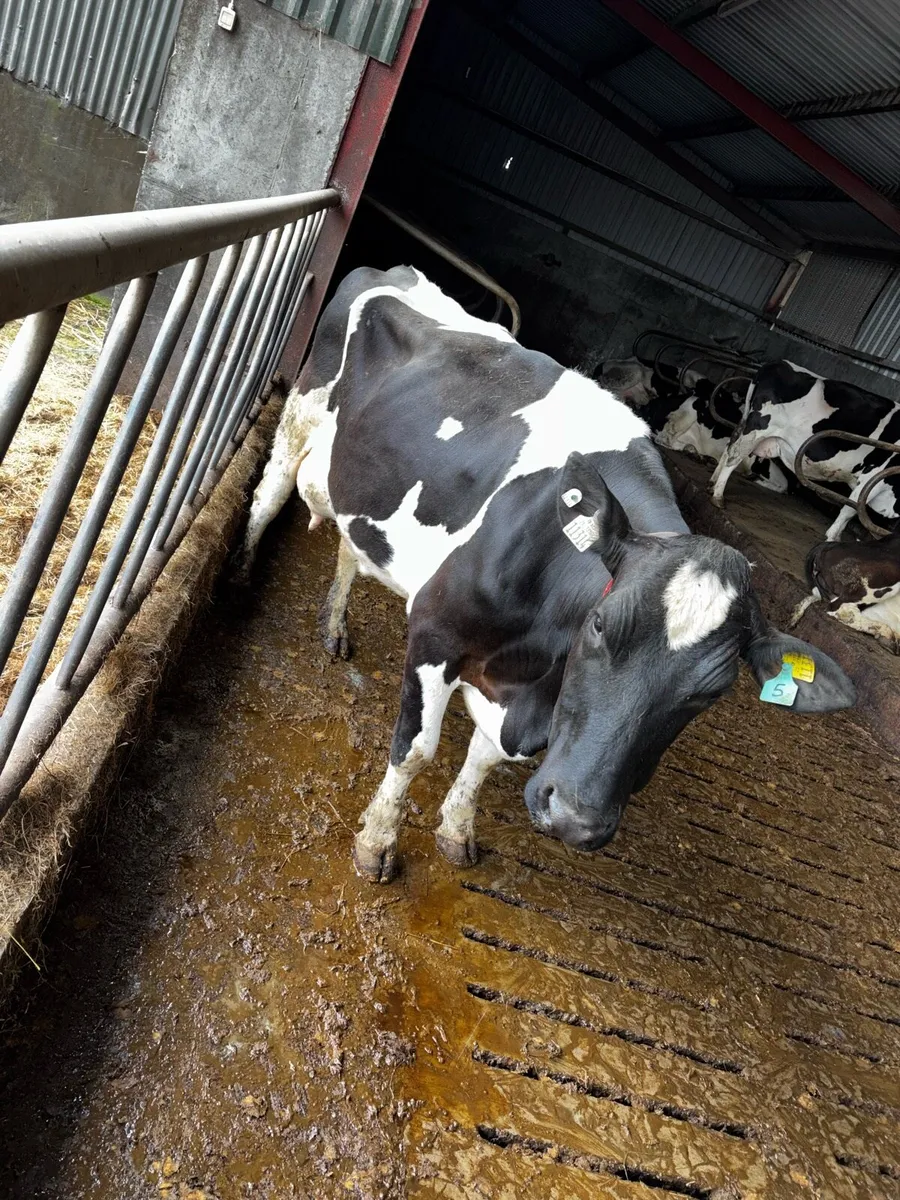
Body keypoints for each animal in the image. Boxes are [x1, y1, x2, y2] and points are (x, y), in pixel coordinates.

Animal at [710, 360, 900, 540]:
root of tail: (775, 363)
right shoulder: (873, 475)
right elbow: (851, 509)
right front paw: (831, 538)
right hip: (758, 428)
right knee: (735, 455)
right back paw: (718, 496)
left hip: (744, 423)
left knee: (729, 446)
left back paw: (712, 483)